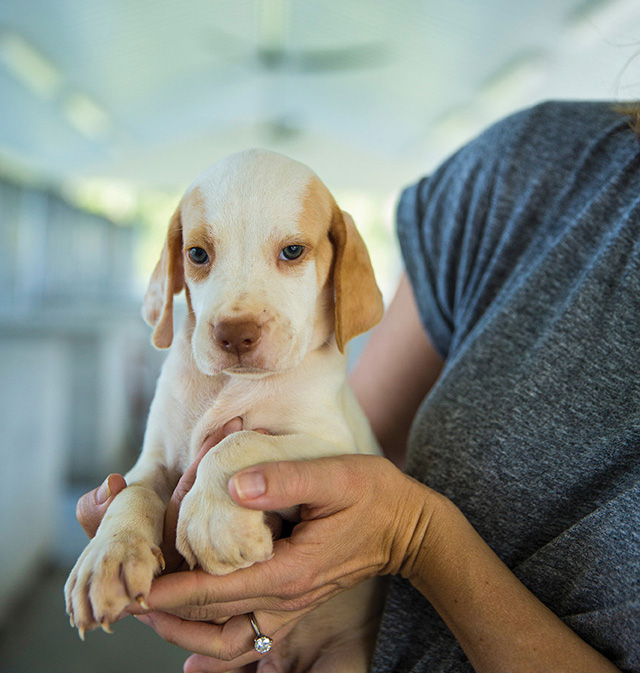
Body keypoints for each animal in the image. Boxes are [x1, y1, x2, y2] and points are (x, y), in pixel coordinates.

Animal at [63, 150, 384, 668]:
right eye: (197, 254)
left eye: (293, 251)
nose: (235, 334)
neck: (230, 386)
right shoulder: (154, 459)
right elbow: (131, 492)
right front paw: (108, 557)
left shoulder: (336, 445)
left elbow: (241, 440)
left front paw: (213, 523)